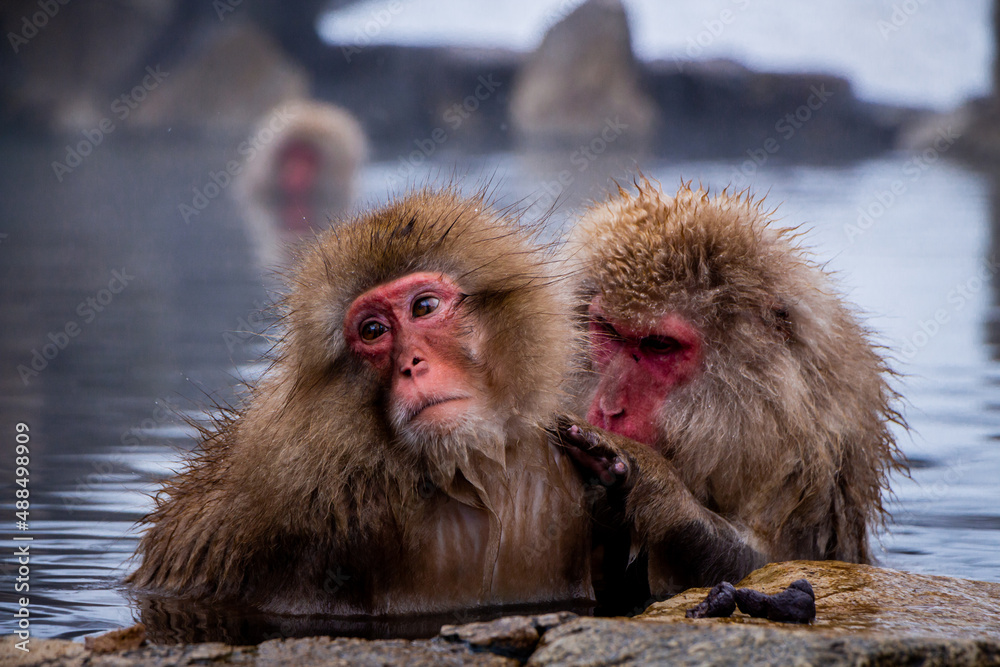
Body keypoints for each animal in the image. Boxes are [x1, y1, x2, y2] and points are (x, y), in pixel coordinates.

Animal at [558, 179, 906, 598]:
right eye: (609, 331)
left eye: (659, 345)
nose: (609, 408)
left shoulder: (811, 456)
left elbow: (775, 566)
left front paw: (650, 481)